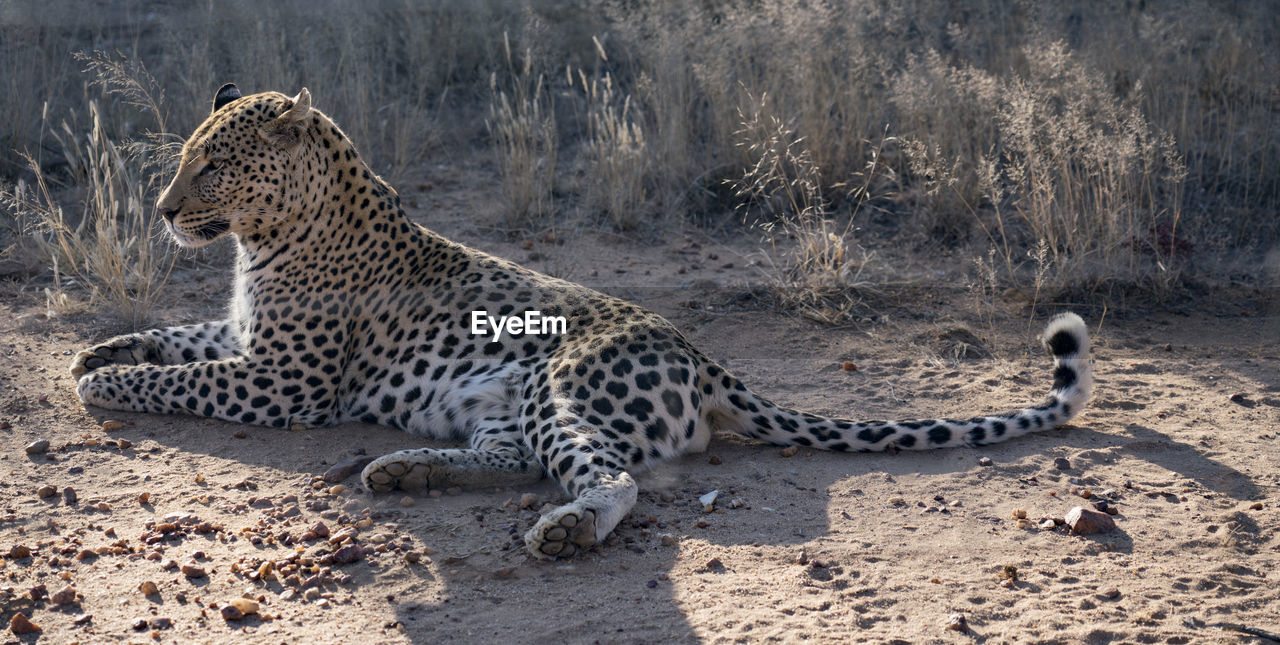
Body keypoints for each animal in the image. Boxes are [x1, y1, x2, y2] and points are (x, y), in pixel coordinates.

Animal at [72, 84, 1090, 560]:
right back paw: (402, 469)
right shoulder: (248, 340)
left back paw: (562, 528)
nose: (164, 209)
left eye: (214, 165)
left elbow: (175, 377)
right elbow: (176, 340)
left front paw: (101, 379)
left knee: (608, 477)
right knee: (513, 458)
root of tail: (702, 357)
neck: (268, 235)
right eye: (185, 159)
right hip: (505, 404)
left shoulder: (281, 379)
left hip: (564, 384)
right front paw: (97, 347)